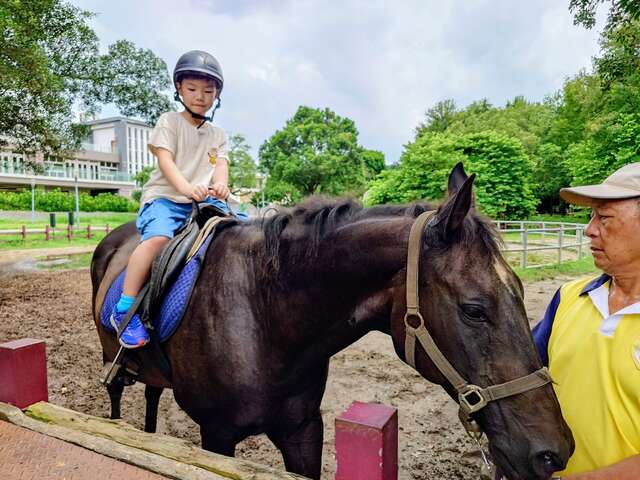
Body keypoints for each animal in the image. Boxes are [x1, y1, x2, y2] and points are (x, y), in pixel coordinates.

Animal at [91, 164, 574, 480]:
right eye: (475, 309)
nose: (554, 452)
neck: (264, 317)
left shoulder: (304, 431)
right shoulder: (218, 436)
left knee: (152, 393)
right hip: (112, 361)